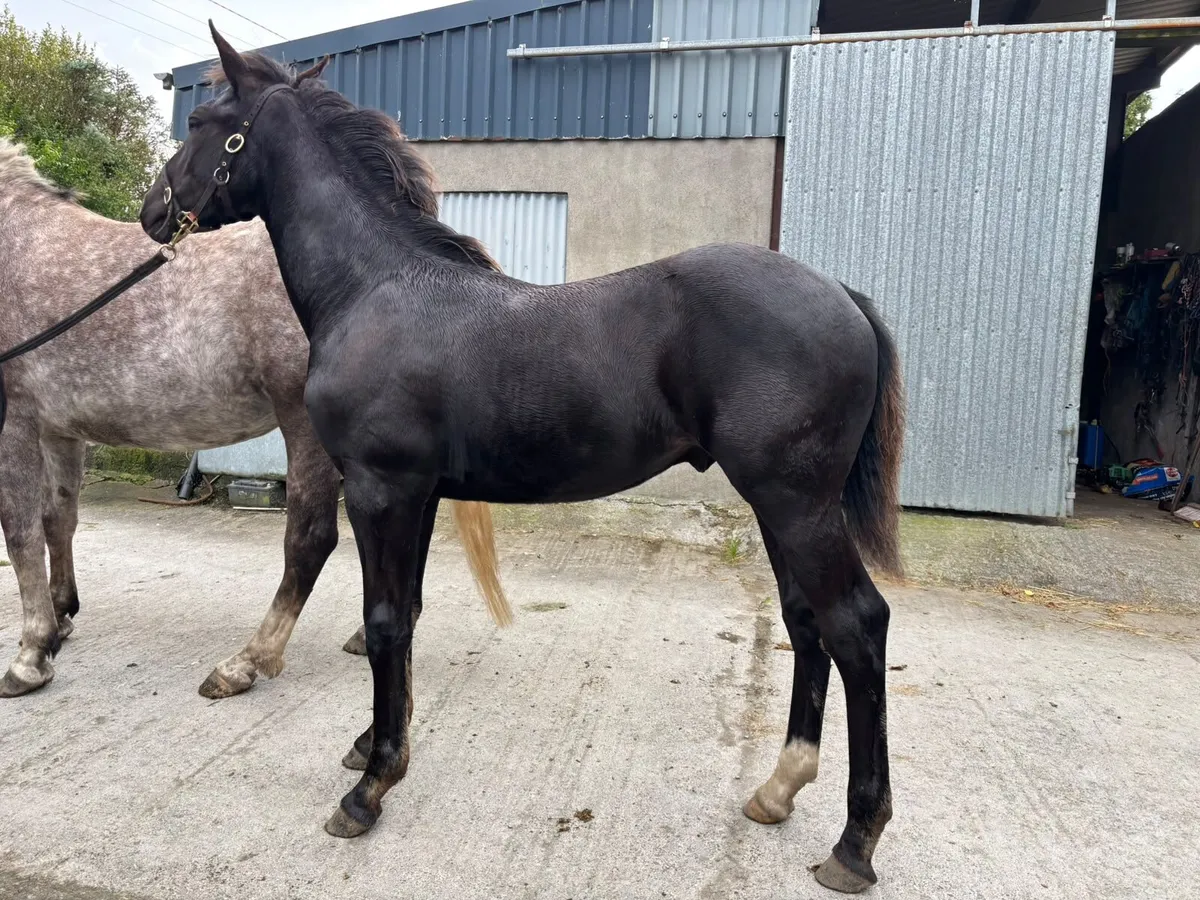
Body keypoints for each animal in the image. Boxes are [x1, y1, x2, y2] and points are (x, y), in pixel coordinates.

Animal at [0, 136, 509, 701]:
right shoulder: (58, 430)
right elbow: (58, 519)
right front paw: (60, 617)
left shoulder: (14, 423)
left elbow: (20, 532)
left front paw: (31, 655)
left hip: (308, 429)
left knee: (311, 539)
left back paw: (245, 662)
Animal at [140, 26, 905, 894]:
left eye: (202, 121)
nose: (152, 212)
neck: (374, 289)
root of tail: (843, 296)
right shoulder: (419, 495)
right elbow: (405, 614)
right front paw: (373, 749)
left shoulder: (378, 489)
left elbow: (382, 623)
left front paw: (368, 790)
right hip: (781, 507)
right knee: (807, 623)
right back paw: (778, 789)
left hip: (796, 505)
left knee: (856, 626)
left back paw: (854, 842)